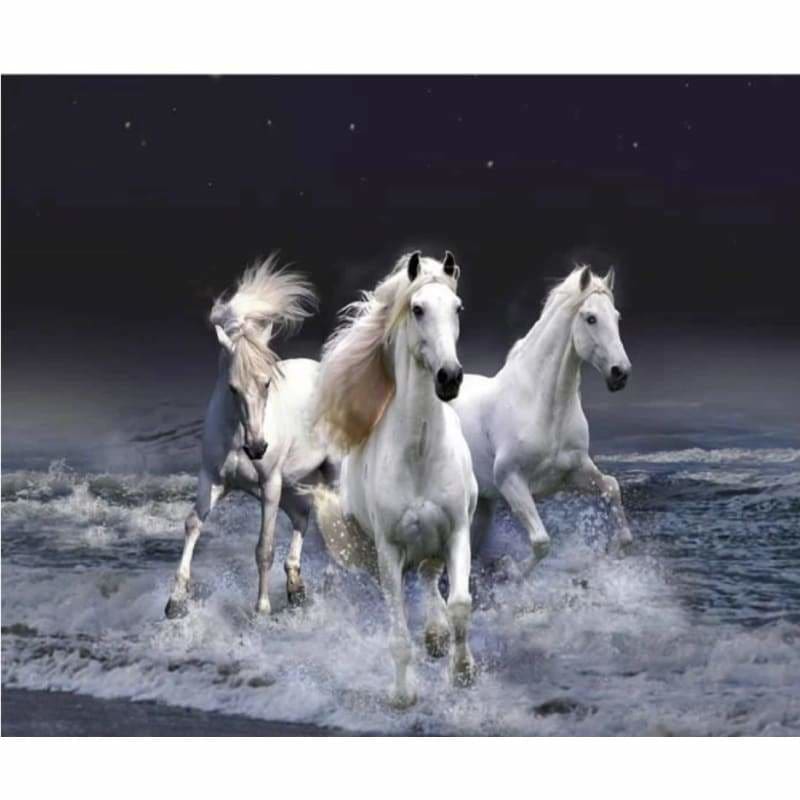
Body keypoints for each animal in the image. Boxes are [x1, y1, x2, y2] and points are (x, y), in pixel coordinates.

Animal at [165, 255, 337, 619]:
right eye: (232, 388)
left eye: (267, 382)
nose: (257, 448)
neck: (236, 435)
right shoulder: (213, 479)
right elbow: (192, 524)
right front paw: (175, 602)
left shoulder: (269, 485)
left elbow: (264, 548)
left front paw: (261, 610)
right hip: (293, 483)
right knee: (303, 516)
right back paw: (296, 587)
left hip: (328, 474)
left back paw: (329, 581)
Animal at [307, 251, 478, 707]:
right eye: (417, 309)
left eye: (458, 309)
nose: (449, 378)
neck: (419, 454)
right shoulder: (389, 550)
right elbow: (398, 635)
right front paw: (403, 695)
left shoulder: (457, 531)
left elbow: (460, 604)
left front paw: (463, 672)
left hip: (435, 542)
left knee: (431, 579)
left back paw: (437, 637)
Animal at [451, 264, 633, 574]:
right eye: (591, 318)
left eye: (617, 316)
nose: (620, 373)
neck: (543, 408)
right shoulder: (511, 480)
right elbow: (541, 541)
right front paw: (511, 570)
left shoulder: (575, 470)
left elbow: (611, 486)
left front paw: (612, 550)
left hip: (483, 504)